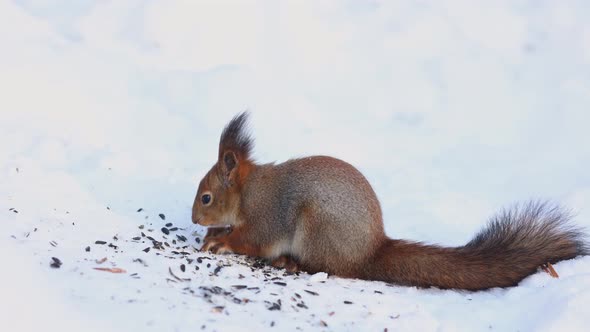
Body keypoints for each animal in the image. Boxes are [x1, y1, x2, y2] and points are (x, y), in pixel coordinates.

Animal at [193, 112, 588, 290]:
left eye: (207, 197)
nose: (196, 219)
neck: (247, 191)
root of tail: (371, 250)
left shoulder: (265, 216)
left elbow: (251, 239)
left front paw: (220, 241)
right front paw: (215, 233)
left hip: (317, 231)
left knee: (330, 267)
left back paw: (291, 263)